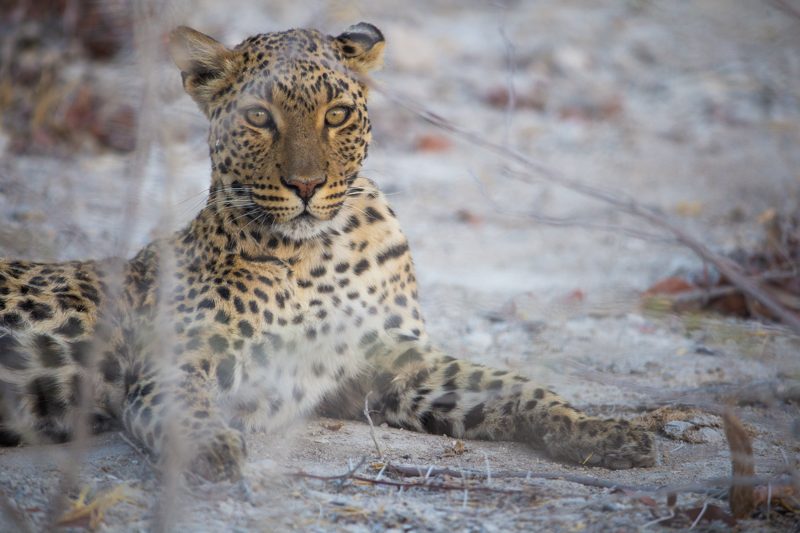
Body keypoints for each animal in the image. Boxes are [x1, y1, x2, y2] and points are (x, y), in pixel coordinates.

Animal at [0, 21, 656, 482]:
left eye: (336, 114)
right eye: (259, 117)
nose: (307, 185)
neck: (321, 253)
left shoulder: (393, 366)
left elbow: (517, 387)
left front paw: (603, 430)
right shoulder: (176, 359)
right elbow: (185, 406)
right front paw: (213, 449)